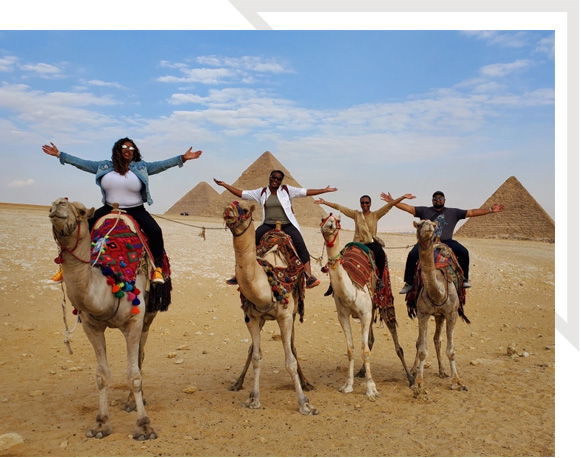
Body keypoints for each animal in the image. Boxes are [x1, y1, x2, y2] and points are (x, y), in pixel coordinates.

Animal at [48, 198, 159, 440]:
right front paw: (100, 424)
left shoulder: (134, 322)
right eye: (49, 208)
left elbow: (134, 375)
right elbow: (101, 376)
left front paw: (144, 426)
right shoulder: (91, 326)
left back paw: (133, 402)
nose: (57, 204)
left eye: (81, 211)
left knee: (140, 355)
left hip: (149, 316)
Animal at [224, 200, 320, 416]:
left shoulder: (285, 317)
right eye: (228, 204)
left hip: (294, 313)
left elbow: (290, 360)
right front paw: (253, 398)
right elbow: (256, 356)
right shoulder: (252, 318)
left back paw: (307, 383)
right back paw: (237, 383)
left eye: (245, 209)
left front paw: (304, 404)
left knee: (293, 346)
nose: (228, 212)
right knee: (252, 349)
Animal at [320, 213, 414, 398]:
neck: (349, 291)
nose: (329, 226)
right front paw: (348, 385)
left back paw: (410, 377)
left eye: (337, 221)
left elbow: (365, 350)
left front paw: (371, 388)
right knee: (370, 339)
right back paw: (362, 371)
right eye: (323, 219)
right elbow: (351, 349)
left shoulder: (365, 313)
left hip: (384, 301)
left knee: (394, 337)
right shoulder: (343, 315)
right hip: (371, 309)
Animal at [410, 220, 468, 396]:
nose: (429, 225)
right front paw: (418, 382)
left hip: (440, 316)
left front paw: (457, 381)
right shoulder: (422, 313)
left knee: (437, 339)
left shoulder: (451, 314)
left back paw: (442, 371)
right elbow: (422, 349)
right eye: (419, 224)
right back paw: (413, 370)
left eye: (434, 225)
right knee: (420, 341)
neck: (438, 293)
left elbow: (451, 350)